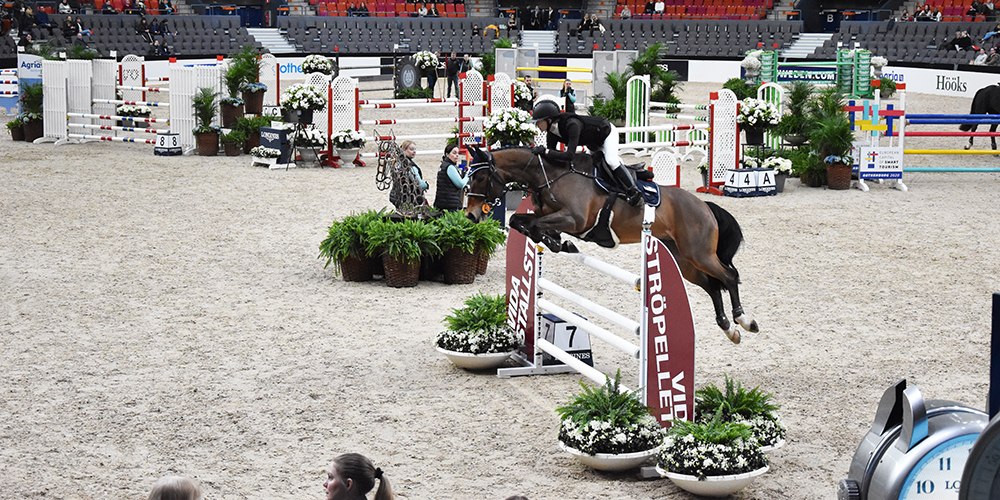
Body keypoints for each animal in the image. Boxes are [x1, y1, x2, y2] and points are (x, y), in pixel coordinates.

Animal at [464, 146, 760, 346]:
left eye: (480, 179)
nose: (470, 216)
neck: (551, 175)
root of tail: (705, 207)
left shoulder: (575, 219)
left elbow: (536, 225)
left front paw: (559, 243)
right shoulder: (547, 215)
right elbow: (520, 221)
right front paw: (556, 242)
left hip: (698, 253)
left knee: (729, 276)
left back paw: (744, 321)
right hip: (684, 259)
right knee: (712, 285)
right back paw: (729, 329)